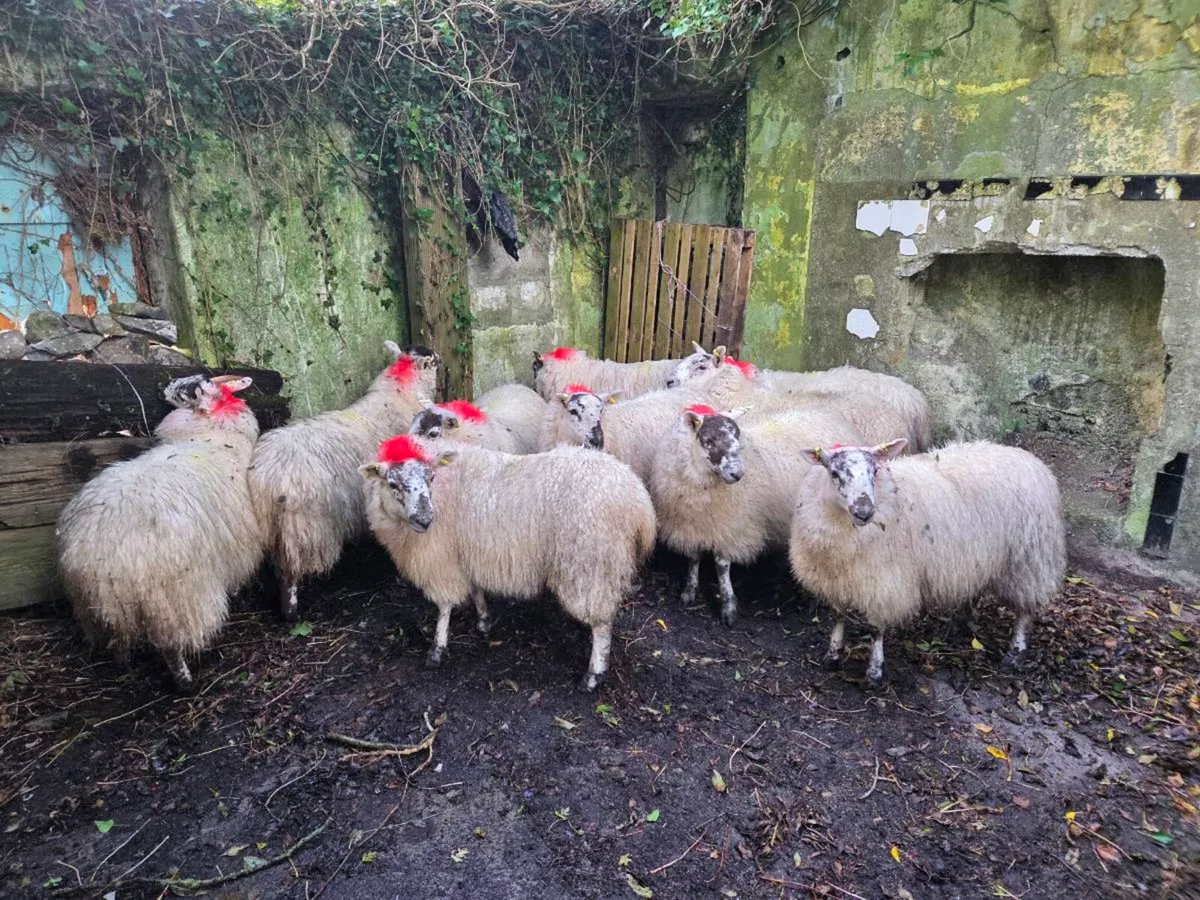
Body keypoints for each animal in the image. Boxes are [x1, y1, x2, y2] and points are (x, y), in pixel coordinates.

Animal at [57, 375, 264, 690]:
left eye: (189, 391)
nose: (161, 388)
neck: (213, 436)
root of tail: (98, 557)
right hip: (156, 601)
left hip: (149, 603)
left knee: (156, 646)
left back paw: (172, 679)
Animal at [248, 342, 441, 621]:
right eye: (434, 361)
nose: (441, 358)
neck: (400, 393)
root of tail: (270, 474)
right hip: (303, 526)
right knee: (290, 571)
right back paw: (291, 611)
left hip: (271, 525)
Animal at [361, 435, 657, 691]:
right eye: (393, 484)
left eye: (430, 477)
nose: (424, 520)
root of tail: (640, 502)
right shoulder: (468, 553)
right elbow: (476, 589)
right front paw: (483, 621)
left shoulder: (440, 560)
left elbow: (444, 607)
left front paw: (437, 649)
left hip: (590, 561)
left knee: (602, 623)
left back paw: (593, 675)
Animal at [650, 403, 863, 626]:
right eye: (710, 440)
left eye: (738, 440)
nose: (737, 474)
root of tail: (828, 414)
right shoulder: (688, 527)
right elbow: (693, 559)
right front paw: (689, 592)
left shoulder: (732, 529)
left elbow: (721, 566)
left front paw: (729, 606)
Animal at [788, 439, 1066, 686]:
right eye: (834, 473)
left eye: (874, 471)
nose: (864, 512)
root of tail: (1031, 461)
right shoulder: (834, 577)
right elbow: (838, 616)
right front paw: (832, 655)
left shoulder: (884, 583)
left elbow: (875, 629)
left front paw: (875, 673)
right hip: (981, 556)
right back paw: (963, 620)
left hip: (1029, 558)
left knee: (1025, 609)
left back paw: (1014, 653)